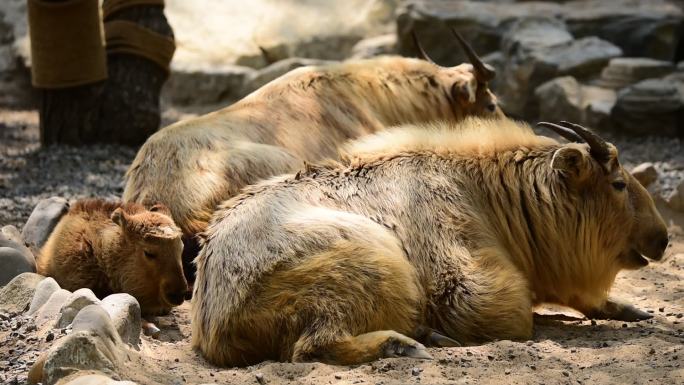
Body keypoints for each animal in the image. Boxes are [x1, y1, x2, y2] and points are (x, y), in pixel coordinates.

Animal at [191, 118, 668, 364]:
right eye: (619, 184)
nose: (663, 238)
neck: (480, 188)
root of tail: (214, 321)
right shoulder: (468, 285)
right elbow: (518, 318)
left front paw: (630, 309)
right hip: (371, 263)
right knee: (310, 347)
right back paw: (407, 342)